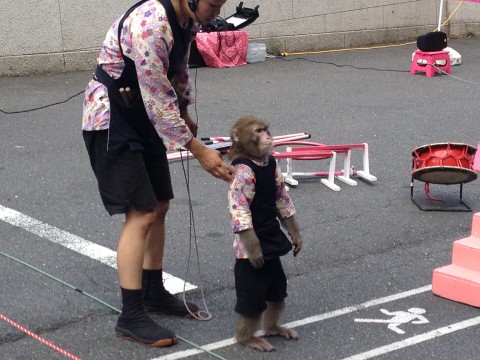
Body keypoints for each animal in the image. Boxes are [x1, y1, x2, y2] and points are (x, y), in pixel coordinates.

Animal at [227, 115, 302, 352]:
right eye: (258, 131)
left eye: (265, 129)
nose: (268, 137)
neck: (255, 159)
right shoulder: (241, 173)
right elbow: (242, 214)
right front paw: (256, 251)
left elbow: (281, 201)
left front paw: (296, 236)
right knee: (251, 304)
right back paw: (247, 338)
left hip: (274, 271)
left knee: (277, 294)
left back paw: (273, 328)